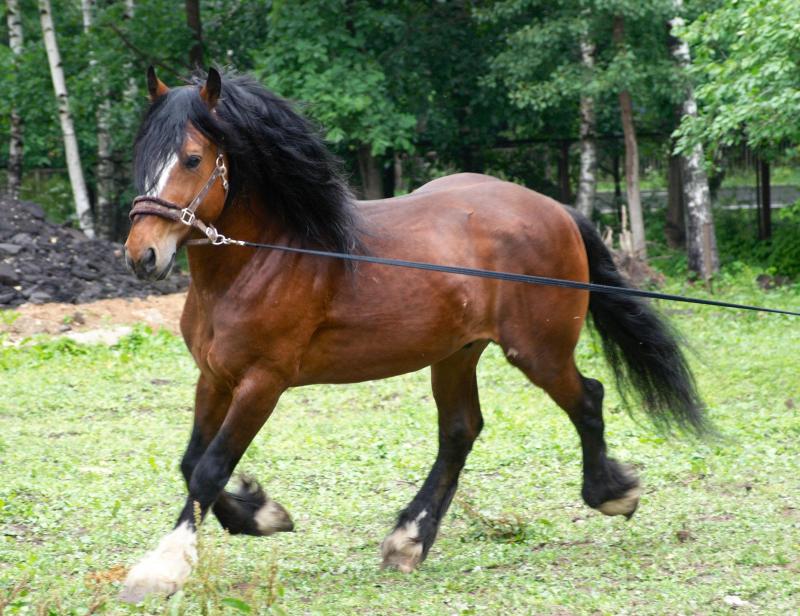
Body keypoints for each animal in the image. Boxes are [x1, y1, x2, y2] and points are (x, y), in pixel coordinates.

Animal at [119, 68, 708, 600]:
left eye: (193, 159)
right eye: (141, 156)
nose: (142, 255)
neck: (268, 257)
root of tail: (555, 209)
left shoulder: (263, 382)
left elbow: (210, 468)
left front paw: (164, 568)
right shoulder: (215, 377)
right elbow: (192, 463)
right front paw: (261, 514)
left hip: (538, 351)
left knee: (587, 398)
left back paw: (612, 493)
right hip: (456, 353)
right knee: (461, 431)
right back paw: (410, 538)